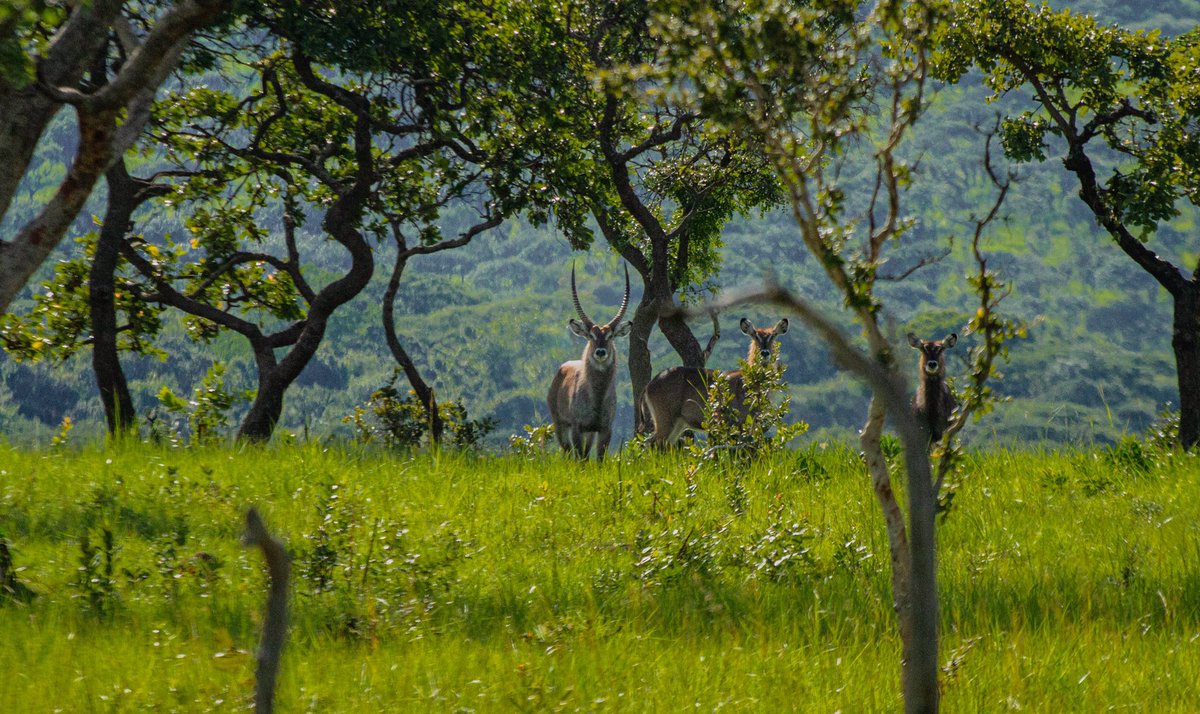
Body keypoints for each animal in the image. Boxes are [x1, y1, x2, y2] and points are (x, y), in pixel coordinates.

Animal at [547, 265, 633, 460]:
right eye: (591, 335)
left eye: (610, 336)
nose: (600, 352)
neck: (597, 396)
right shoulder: (577, 428)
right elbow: (579, 457)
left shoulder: (604, 429)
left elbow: (599, 459)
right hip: (560, 425)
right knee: (568, 452)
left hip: (590, 433)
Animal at [643, 319, 792, 446]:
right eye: (755, 336)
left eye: (773, 335)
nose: (765, 353)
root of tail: (650, 384)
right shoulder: (736, 423)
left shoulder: (752, 424)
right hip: (665, 419)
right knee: (650, 443)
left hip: (678, 423)